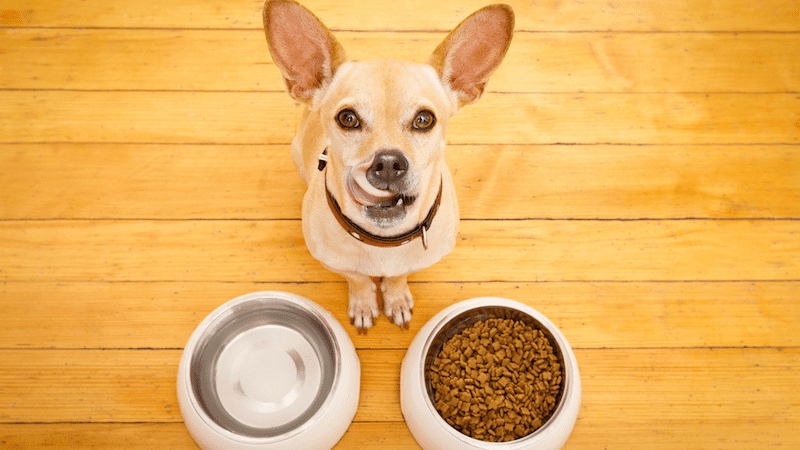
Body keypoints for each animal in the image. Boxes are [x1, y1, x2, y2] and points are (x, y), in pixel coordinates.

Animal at [260, 0, 512, 330]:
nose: (389, 163)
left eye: (424, 119)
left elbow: (398, 277)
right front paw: (364, 304)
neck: (382, 243)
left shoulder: (412, 263)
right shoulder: (338, 264)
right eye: (347, 118)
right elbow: (357, 280)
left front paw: (396, 298)